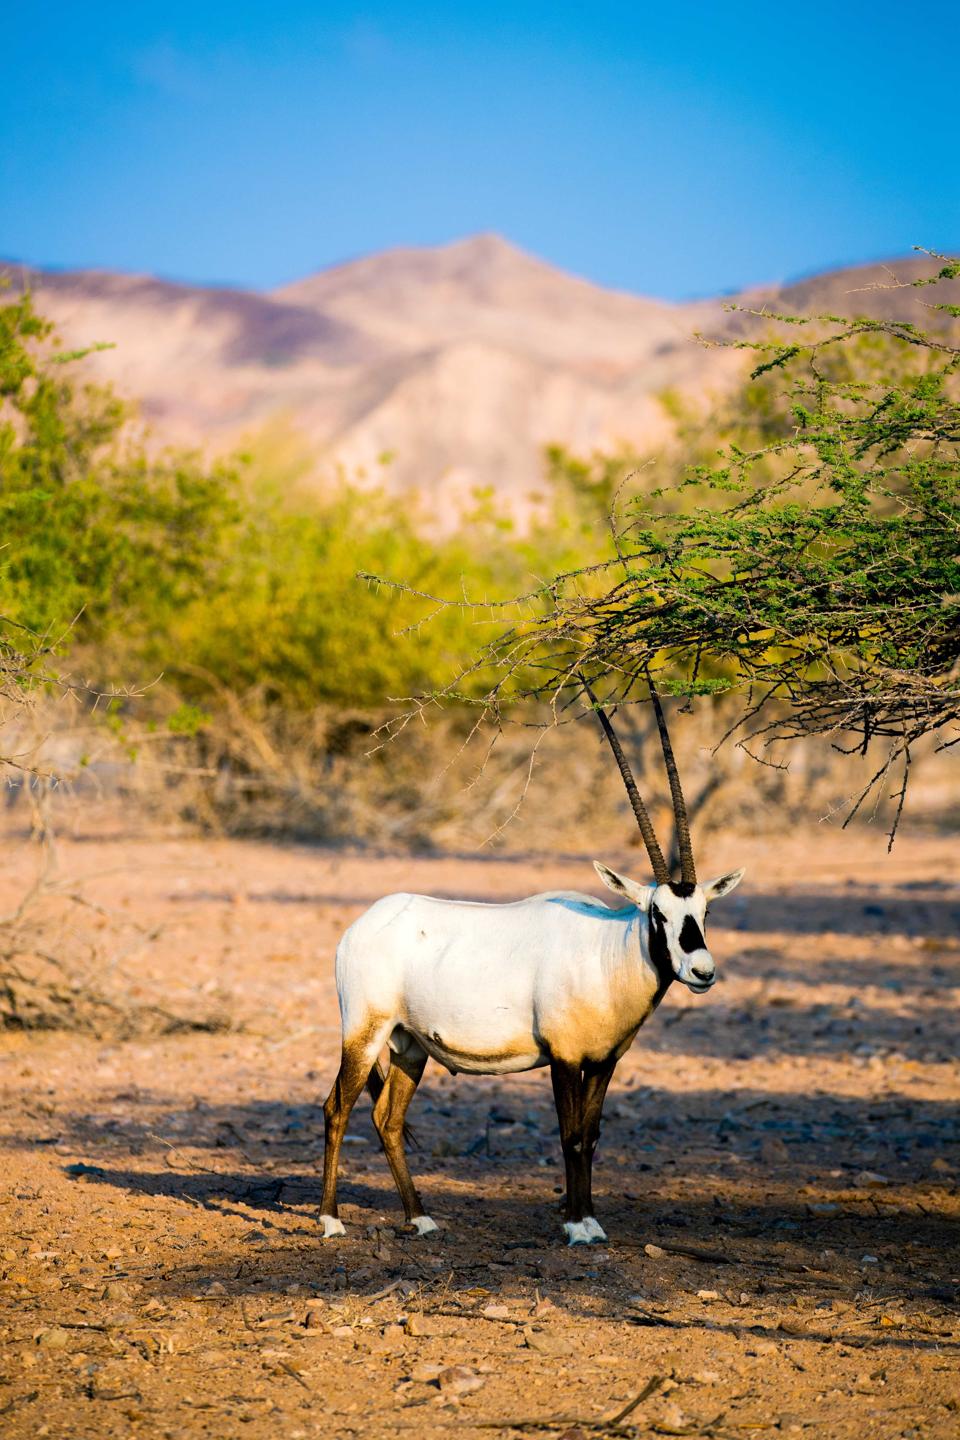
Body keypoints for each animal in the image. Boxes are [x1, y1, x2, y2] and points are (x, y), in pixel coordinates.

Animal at [319, 682, 744, 1245]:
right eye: (658, 913)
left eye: (705, 911)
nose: (701, 972)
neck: (605, 953)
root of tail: (360, 925)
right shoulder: (564, 1057)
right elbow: (569, 1135)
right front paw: (577, 1226)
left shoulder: (604, 1060)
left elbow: (590, 1135)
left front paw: (590, 1219)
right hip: (363, 1033)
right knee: (337, 1109)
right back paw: (330, 1219)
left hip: (409, 1045)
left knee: (387, 1118)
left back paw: (420, 1218)